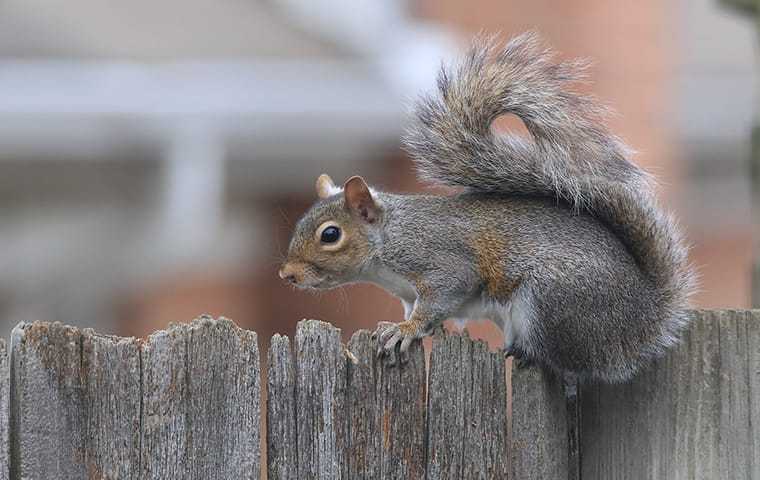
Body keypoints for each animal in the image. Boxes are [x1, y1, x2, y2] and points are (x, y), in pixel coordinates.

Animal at [278, 32, 696, 386]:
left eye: (330, 234)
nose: (287, 275)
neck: (387, 240)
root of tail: (644, 319)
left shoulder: (440, 259)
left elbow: (444, 294)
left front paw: (406, 331)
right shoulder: (407, 292)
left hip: (552, 301)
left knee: (569, 362)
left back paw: (531, 354)